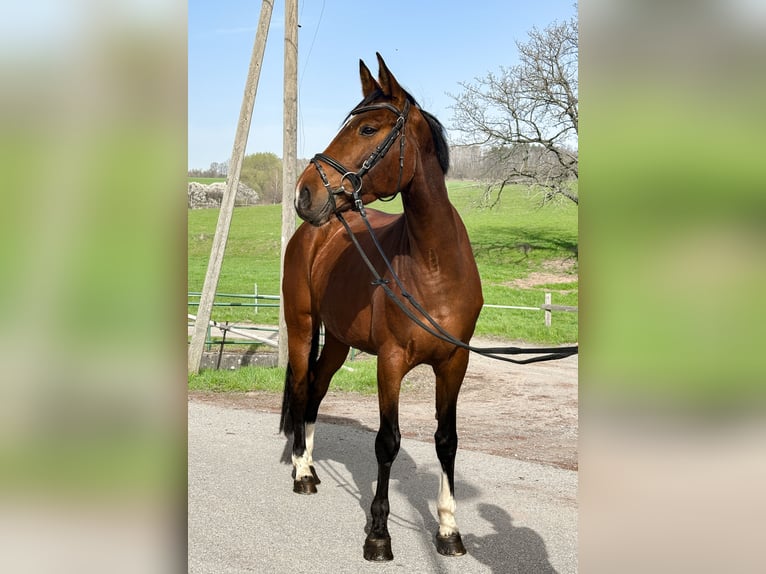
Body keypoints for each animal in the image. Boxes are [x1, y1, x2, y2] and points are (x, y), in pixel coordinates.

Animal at [279, 53, 483, 562]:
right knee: (300, 390)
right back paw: (301, 472)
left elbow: (447, 441)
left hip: (337, 342)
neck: (433, 265)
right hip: (302, 328)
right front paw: (378, 534)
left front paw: (448, 530)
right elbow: (387, 442)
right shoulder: (390, 362)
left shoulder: (454, 362)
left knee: (315, 392)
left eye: (368, 129)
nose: (305, 193)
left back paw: (312, 465)